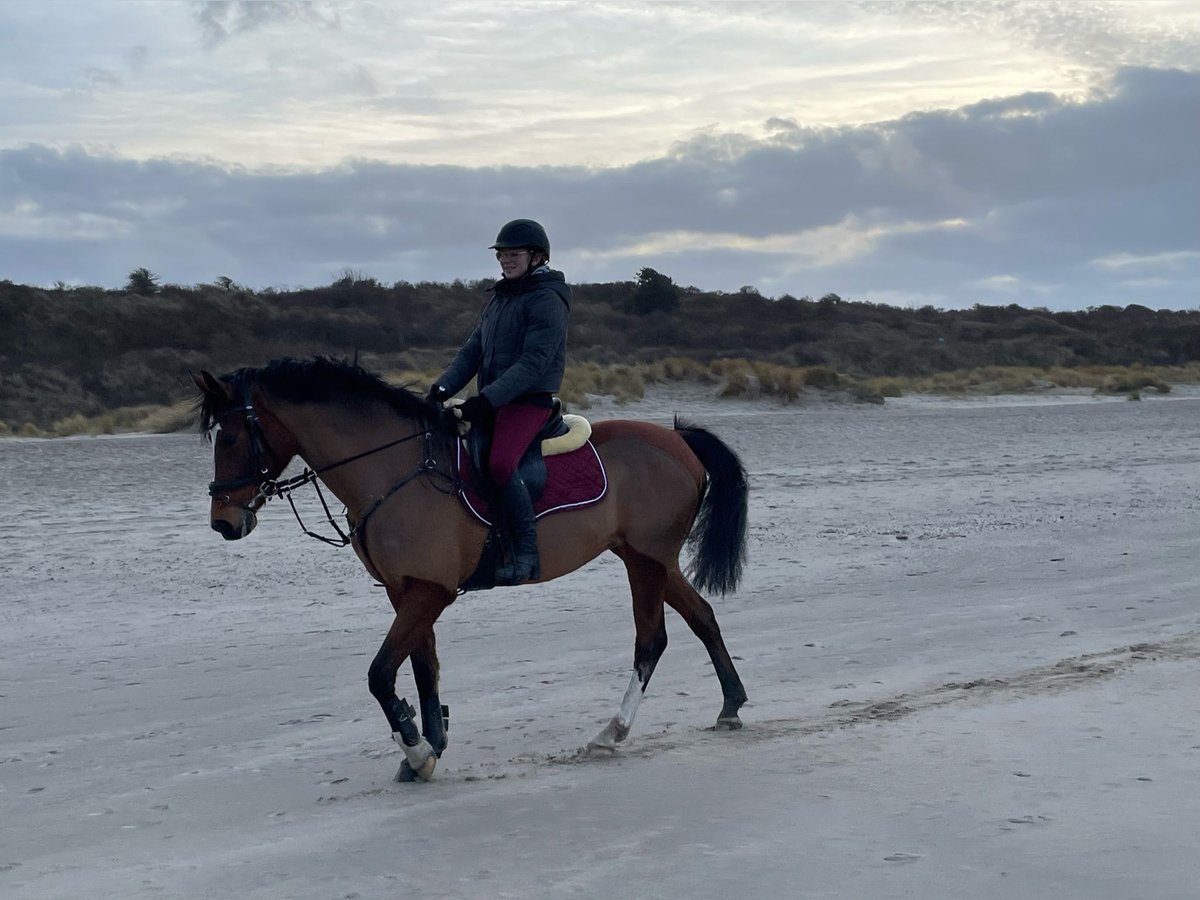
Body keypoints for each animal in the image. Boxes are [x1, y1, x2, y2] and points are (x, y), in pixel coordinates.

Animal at [192, 357, 744, 782]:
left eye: (232, 439)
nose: (223, 523)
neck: (393, 470)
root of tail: (678, 440)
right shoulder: (404, 591)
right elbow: (422, 669)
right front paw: (428, 744)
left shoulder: (430, 591)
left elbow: (381, 674)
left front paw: (417, 749)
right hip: (649, 558)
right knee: (703, 618)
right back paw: (731, 705)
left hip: (646, 562)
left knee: (651, 641)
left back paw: (612, 732)